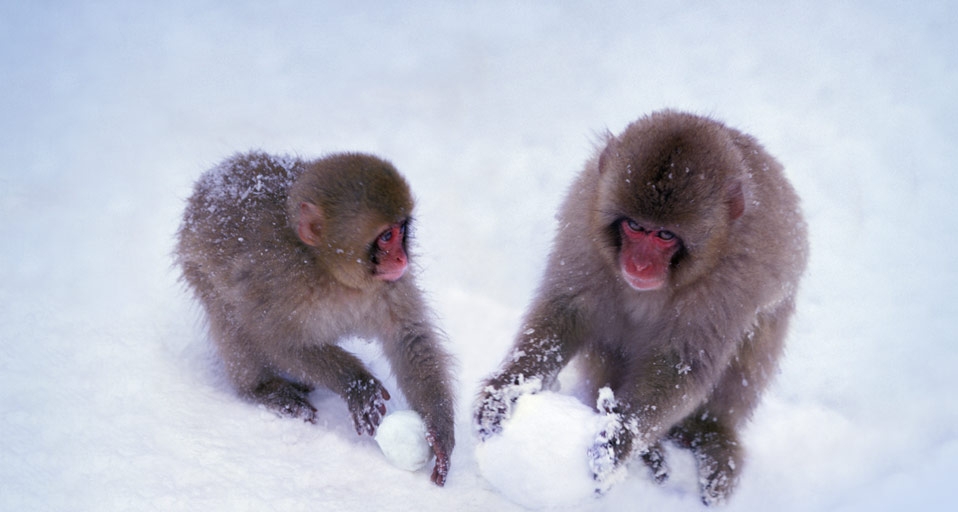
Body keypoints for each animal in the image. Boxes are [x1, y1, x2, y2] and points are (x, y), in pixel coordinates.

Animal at [175, 151, 455, 486]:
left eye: (402, 230)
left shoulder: (390, 285)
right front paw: (355, 382)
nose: (403, 258)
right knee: (229, 318)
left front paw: (440, 431)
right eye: (386, 236)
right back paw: (262, 390)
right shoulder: (280, 283)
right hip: (196, 264)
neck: (330, 273)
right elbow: (275, 341)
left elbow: (409, 338)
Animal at [475, 110, 808, 505]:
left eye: (664, 235)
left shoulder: (731, 277)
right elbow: (566, 311)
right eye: (635, 226)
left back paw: (712, 434)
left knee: (753, 348)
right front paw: (507, 388)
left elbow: (680, 362)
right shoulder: (584, 224)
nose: (639, 265)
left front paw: (620, 437)